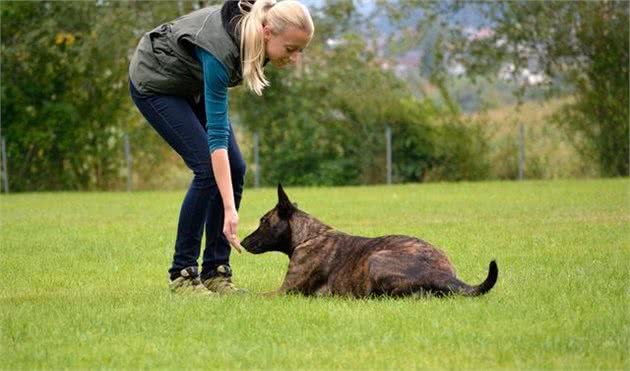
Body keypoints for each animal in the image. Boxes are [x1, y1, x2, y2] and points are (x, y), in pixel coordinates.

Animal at [242, 186, 498, 300]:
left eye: (264, 221)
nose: (242, 242)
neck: (308, 235)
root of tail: (440, 273)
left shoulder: (284, 291)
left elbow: (252, 295)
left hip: (376, 259)